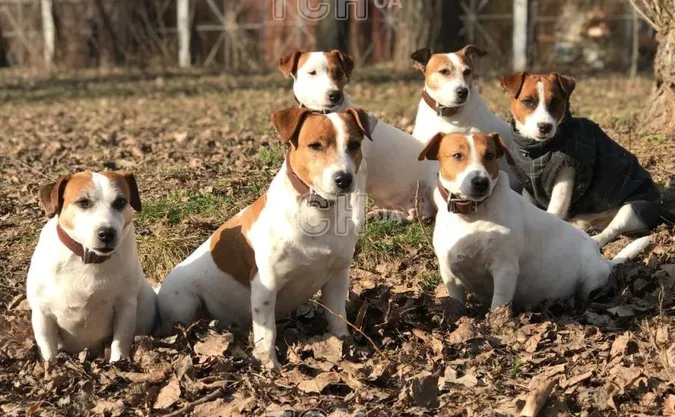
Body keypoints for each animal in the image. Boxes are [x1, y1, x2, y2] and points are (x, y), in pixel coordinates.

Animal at [26, 171, 157, 366]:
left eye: (120, 202)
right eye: (83, 202)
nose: (107, 233)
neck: (88, 259)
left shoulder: (125, 305)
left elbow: (121, 339)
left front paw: (119, 363)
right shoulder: (43, 313)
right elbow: (48, 348)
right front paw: (51, 367)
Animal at [278, 49, 438, 221]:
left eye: (339, 73)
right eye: (312, 72)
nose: (335, 94)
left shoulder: (358, 172)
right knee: (412, 215)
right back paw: (383, 213)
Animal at [422, 132, 656, 310]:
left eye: (489, 155)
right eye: (457, 155)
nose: (481, 181)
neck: (470, 216)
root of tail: (605, 262)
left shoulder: (504, 270)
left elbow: (498, 305)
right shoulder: (448, 271)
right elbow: (456, 301)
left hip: (590, 279)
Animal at [502, 71, 660, 247]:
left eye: (556, 101)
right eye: (528, 101)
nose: (545, 126)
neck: (537, 151)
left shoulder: (565, 178)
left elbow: (554, 211)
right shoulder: (529, 187)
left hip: (634, 209)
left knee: (611, 230)